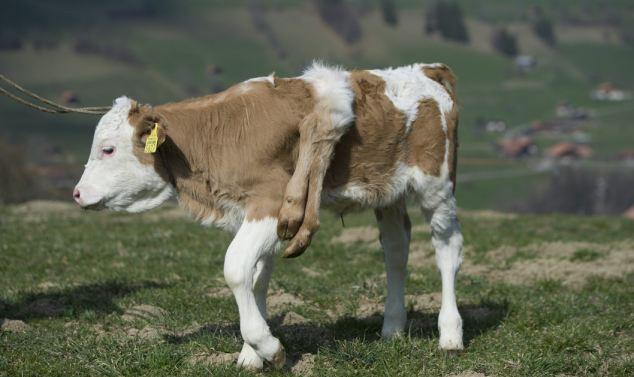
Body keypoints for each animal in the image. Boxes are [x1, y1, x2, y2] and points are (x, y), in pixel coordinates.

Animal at [74, 62, 462, 370]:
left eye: (108, 149)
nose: (77, 193)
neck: (223, 133)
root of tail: (425, 70)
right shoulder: (256, 215)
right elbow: (256, 277)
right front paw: (251, 355)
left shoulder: (272, 203)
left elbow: (235, 269)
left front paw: (268, 347)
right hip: (388, 195)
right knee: (396, 251)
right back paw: (392, 328)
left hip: (437, 186)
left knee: (447, 249)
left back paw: (450, 334)